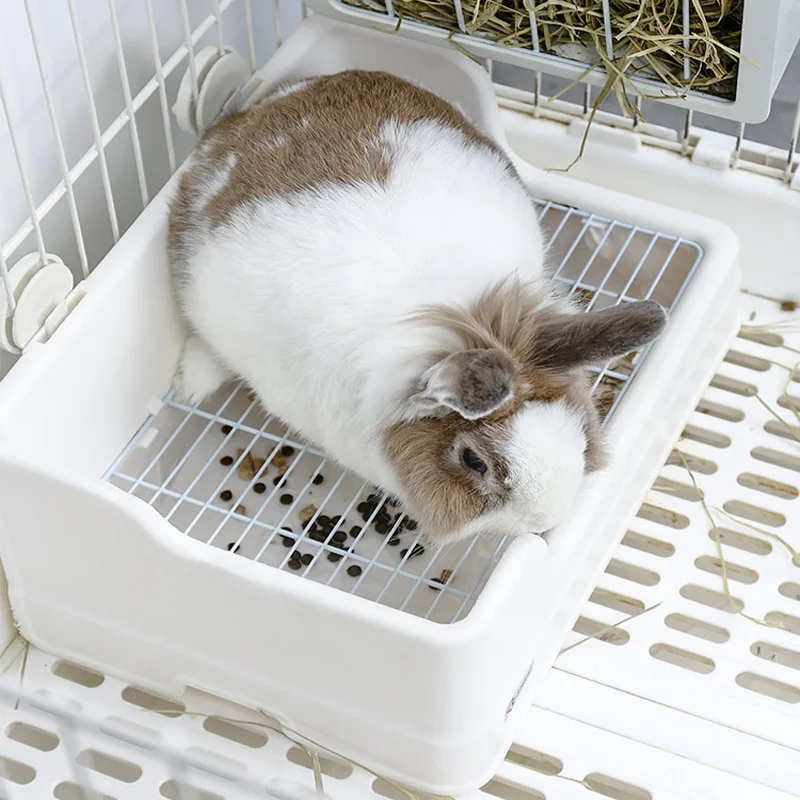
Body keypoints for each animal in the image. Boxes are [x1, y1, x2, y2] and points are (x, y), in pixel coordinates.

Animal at [168, 70, 667, 544]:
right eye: (474, 461)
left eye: (577, 426)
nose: (546, 519)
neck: (448, 321)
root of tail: (264, 107)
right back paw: (191, 383)